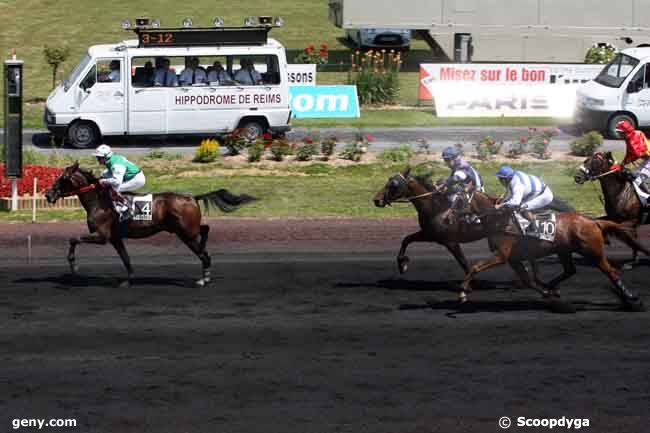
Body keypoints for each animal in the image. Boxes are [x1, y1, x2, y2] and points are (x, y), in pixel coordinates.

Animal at [45, 160, 256, 286]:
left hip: (185, 233)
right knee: (205, 230)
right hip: (187, 229)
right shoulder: (115, 238)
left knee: (204, 253)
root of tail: (191, 197)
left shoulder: (102, 236)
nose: (48, 195)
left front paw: (74, 267)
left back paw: (204, 278)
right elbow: (125, 258)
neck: (100, 201)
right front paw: (128, 280)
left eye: (62, 178)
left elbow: (73, 239)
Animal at [448, 190, 644, 310]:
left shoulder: (502, 255)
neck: (500, 219)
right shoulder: (514, 258)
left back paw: (631, 298)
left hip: (593, 252)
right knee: (570, 270)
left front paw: (462, 293)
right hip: (564, 251)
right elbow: (528, 280)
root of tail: (593, 221)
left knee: (611, 272)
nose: (447, 217)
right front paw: (546, 293)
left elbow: (476, 267)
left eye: (459, 200)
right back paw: (551, 287)